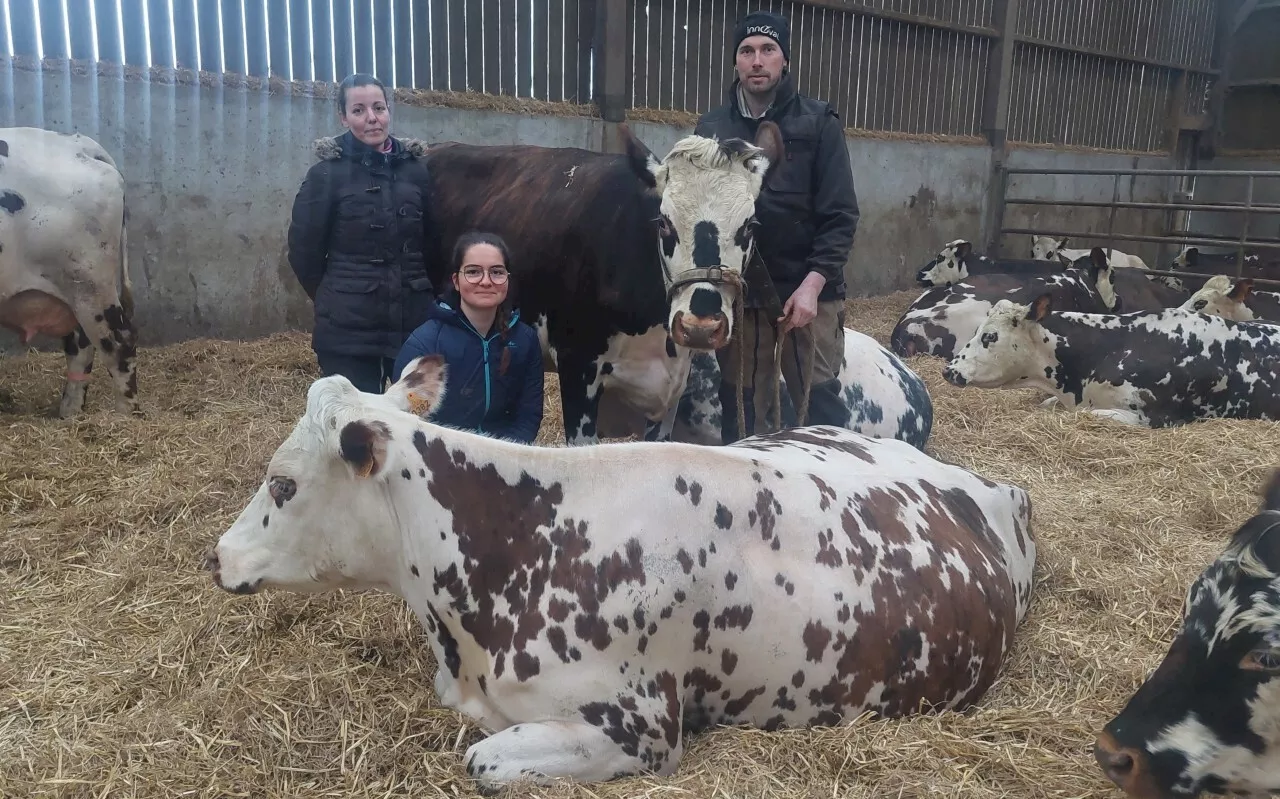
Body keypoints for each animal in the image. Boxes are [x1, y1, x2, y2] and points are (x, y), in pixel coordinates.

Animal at [0, 124, 140, 417]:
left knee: (119, 342)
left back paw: (125, 416)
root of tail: (79, 145)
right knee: (81, 345)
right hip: (76, 290)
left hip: (90, 283)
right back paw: (70, 413)